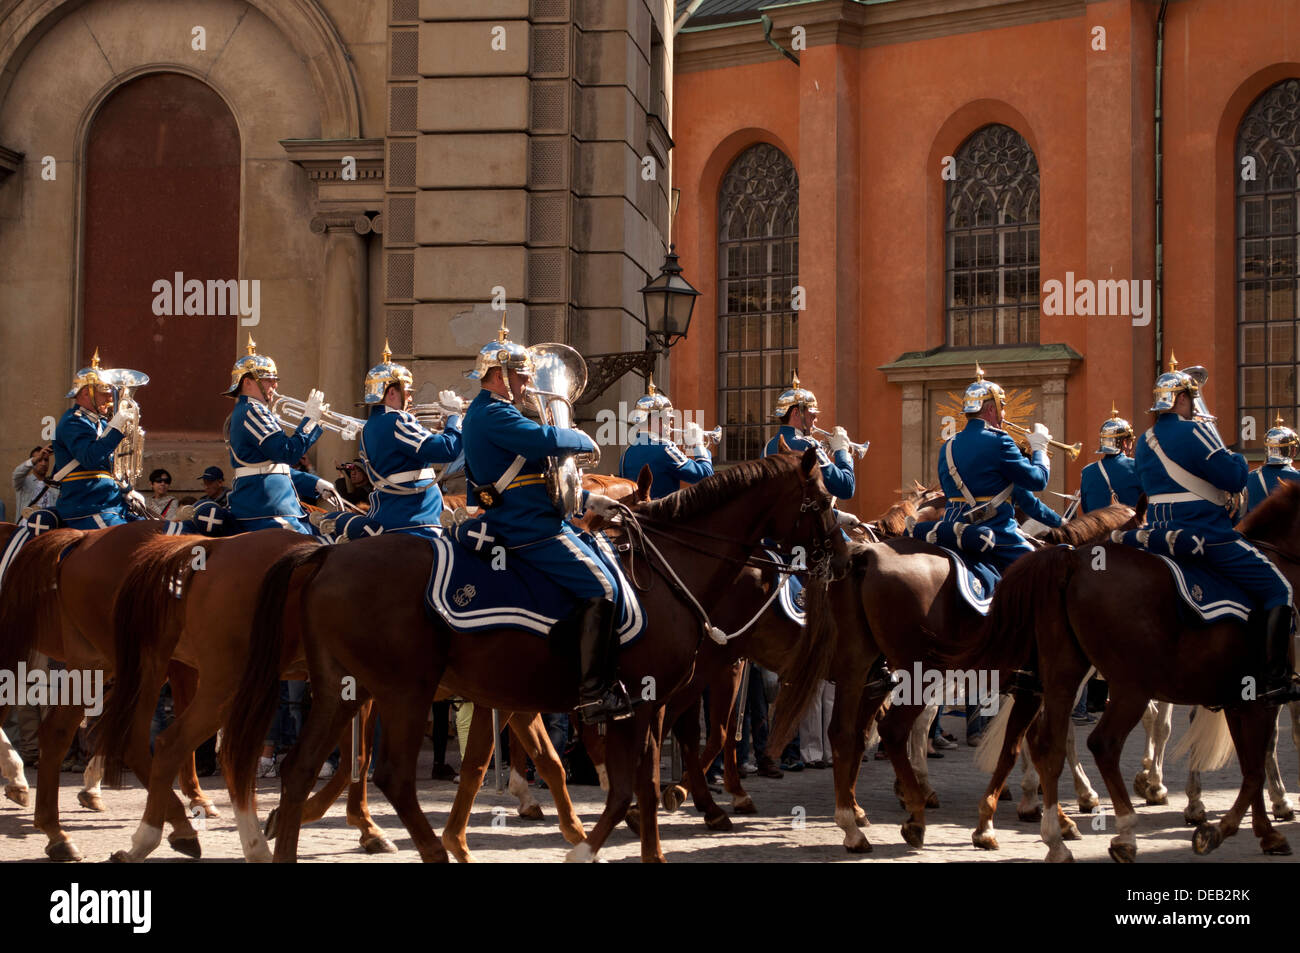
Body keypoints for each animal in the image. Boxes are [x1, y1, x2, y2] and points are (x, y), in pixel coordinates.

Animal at [219, 447, 847, 863]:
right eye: (820, 499)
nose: (842, 558)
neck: (664, 573)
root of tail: (327, 554)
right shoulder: (637, 701)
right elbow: (623, 784)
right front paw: (585, 846)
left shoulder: (607, 704)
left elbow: (625, 782)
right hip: (402, 693)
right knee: (391, 776)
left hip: (345, 690)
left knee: (303, 769)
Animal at [951, 483, 1300, 863]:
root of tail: (1069, 562)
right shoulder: (1244, 695)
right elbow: (1244, 753)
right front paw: (1177, 796)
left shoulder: (1229, 695)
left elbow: (1246, 757)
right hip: (1116, 686)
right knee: (1091, 742)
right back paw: (1107, 824)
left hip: (1063, 678)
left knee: (1040, 741)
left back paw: (1037, 824)